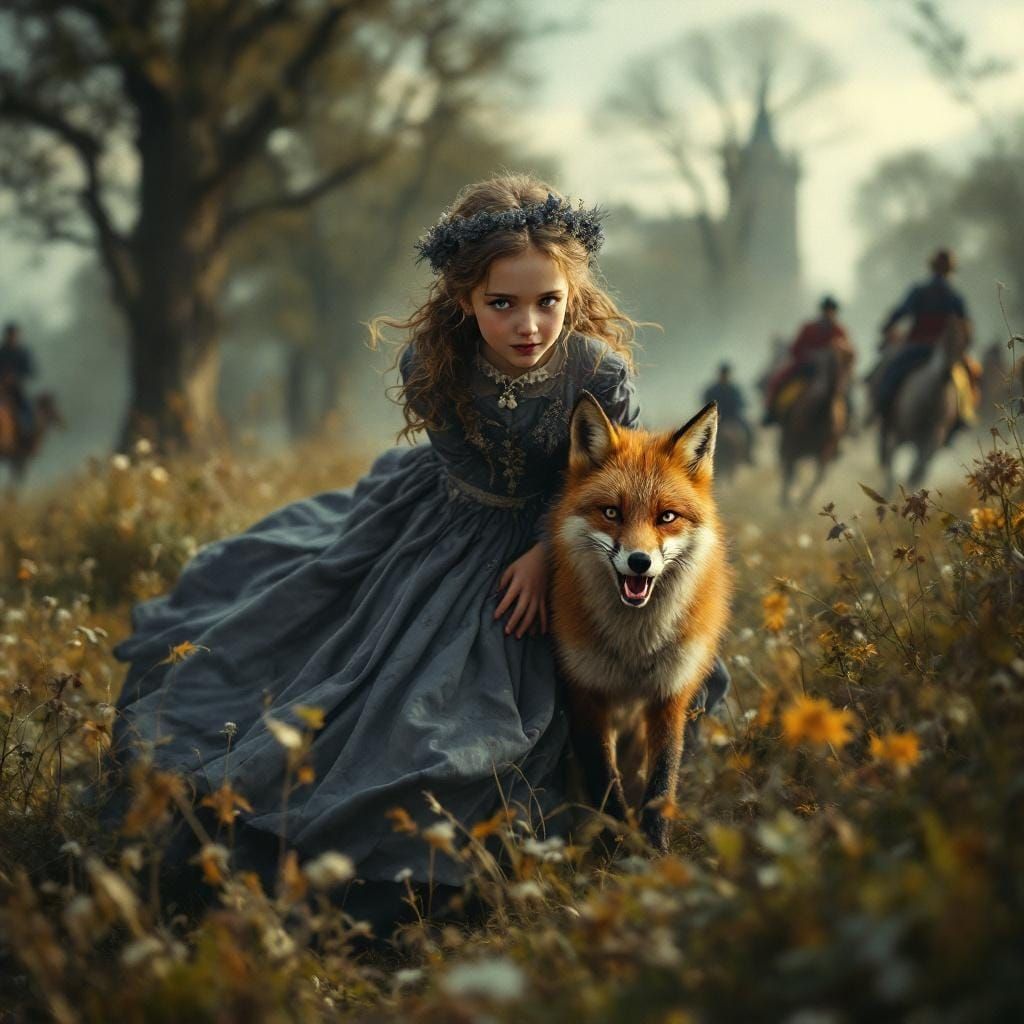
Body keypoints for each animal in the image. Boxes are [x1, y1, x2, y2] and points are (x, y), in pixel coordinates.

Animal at [549, 394, 732, 852]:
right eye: (611, 512)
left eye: (666, 517)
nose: (639, 562)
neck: (635, 648)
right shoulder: (587, 695)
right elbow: (606, 785)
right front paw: (618, 853)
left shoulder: (670, 695)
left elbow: (661, 784)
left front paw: (656, 853)